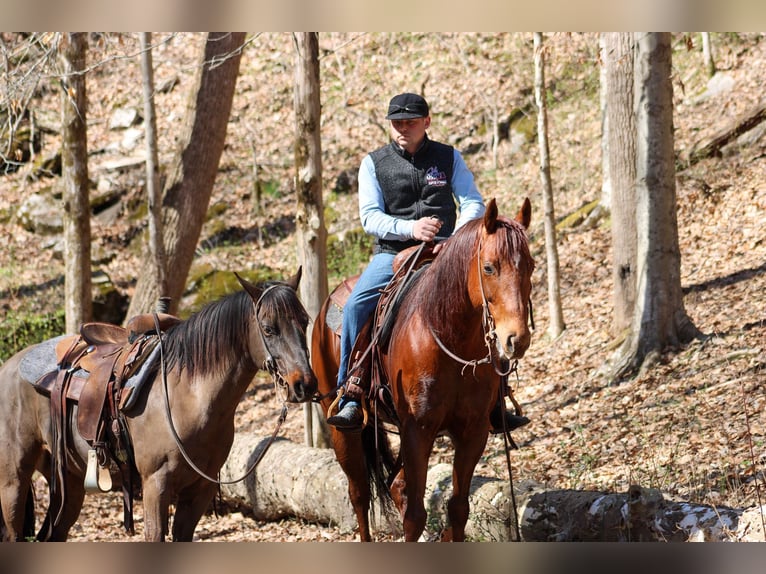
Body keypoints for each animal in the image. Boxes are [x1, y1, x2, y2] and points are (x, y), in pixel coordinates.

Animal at [0, 269, 317, 541]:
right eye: (268, 328)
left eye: (304, 321)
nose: (305, 384)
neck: (189, 397)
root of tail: (10, 365)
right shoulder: (156, 484)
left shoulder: (199, 490)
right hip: (13, 481)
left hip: (70, 481)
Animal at [312, 198, 534, 542]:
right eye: (489, 267)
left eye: (531, 266)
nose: (517, 339)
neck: (448, 337)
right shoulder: (418, 430)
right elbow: (415, 516)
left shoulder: (473, 431)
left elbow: (458, 509)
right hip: (342, 429)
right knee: (359, 493)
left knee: (395, 486)